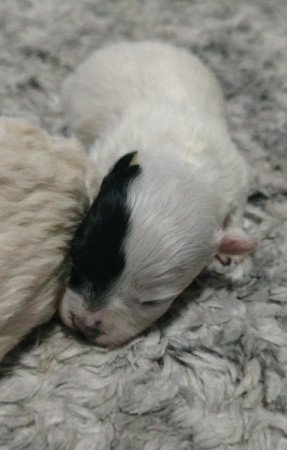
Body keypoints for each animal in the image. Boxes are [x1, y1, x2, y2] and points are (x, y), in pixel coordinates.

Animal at [59, 41, 258, 344]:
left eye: (152, 301)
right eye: (76, 260)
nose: (84, 324)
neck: (175, 156)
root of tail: (135, 44)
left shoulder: (234, 174)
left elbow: (237, 208)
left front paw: (234, 246)